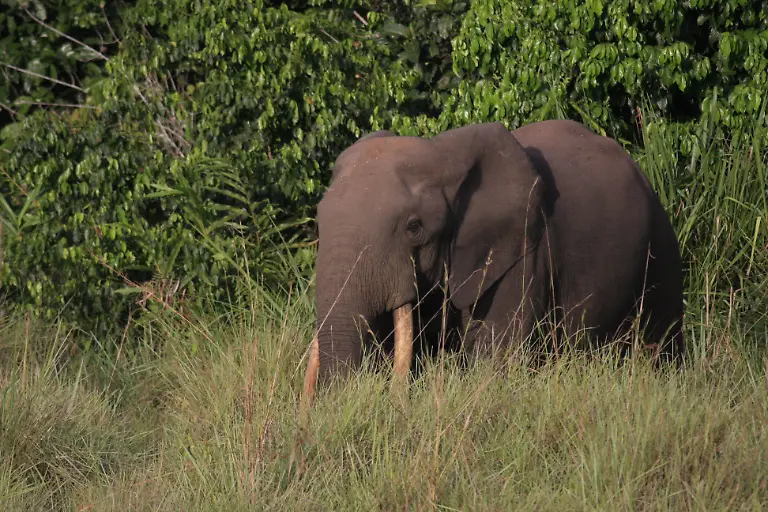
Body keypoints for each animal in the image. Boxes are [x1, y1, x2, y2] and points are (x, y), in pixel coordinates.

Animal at [301, 119, 685, 404]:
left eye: (414, 227)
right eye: (319, 221)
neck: (442, 155)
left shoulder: (526, 250)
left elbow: (496, 355)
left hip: (661, 241)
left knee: (662, 339)